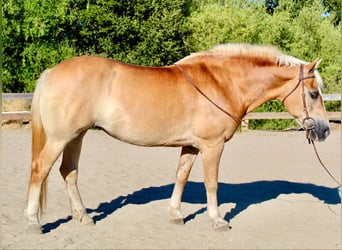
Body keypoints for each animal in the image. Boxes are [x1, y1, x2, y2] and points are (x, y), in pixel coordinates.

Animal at [24, 43, 328, 234]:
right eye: (314, 94)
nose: (324, 130)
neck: (223, 83)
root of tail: (52, 72)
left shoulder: (191, 146)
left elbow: (181, 177)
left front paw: (175, 214)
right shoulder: (212, 145)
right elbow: (211, 183)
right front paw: (217, 220)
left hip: (76, 136)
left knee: (69, 172)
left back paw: (84, 217)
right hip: (60, 138)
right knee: (40, 171)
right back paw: (32, 222)